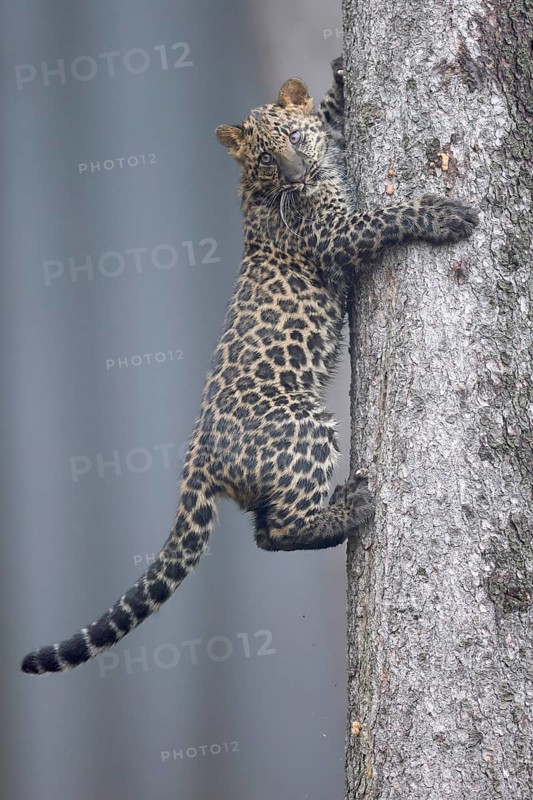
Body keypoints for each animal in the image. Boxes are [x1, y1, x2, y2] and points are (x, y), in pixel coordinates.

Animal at [21, 57, 479, 674]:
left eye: (292, 141)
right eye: (265, 158)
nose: (295, 176)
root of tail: (198, 455)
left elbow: (324, 116)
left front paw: (335, 81)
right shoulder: (336, 234)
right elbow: (387, 216)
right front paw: (444, 214)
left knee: (261, 530)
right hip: (304, 424)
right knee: (276, 529)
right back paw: (352, 509)